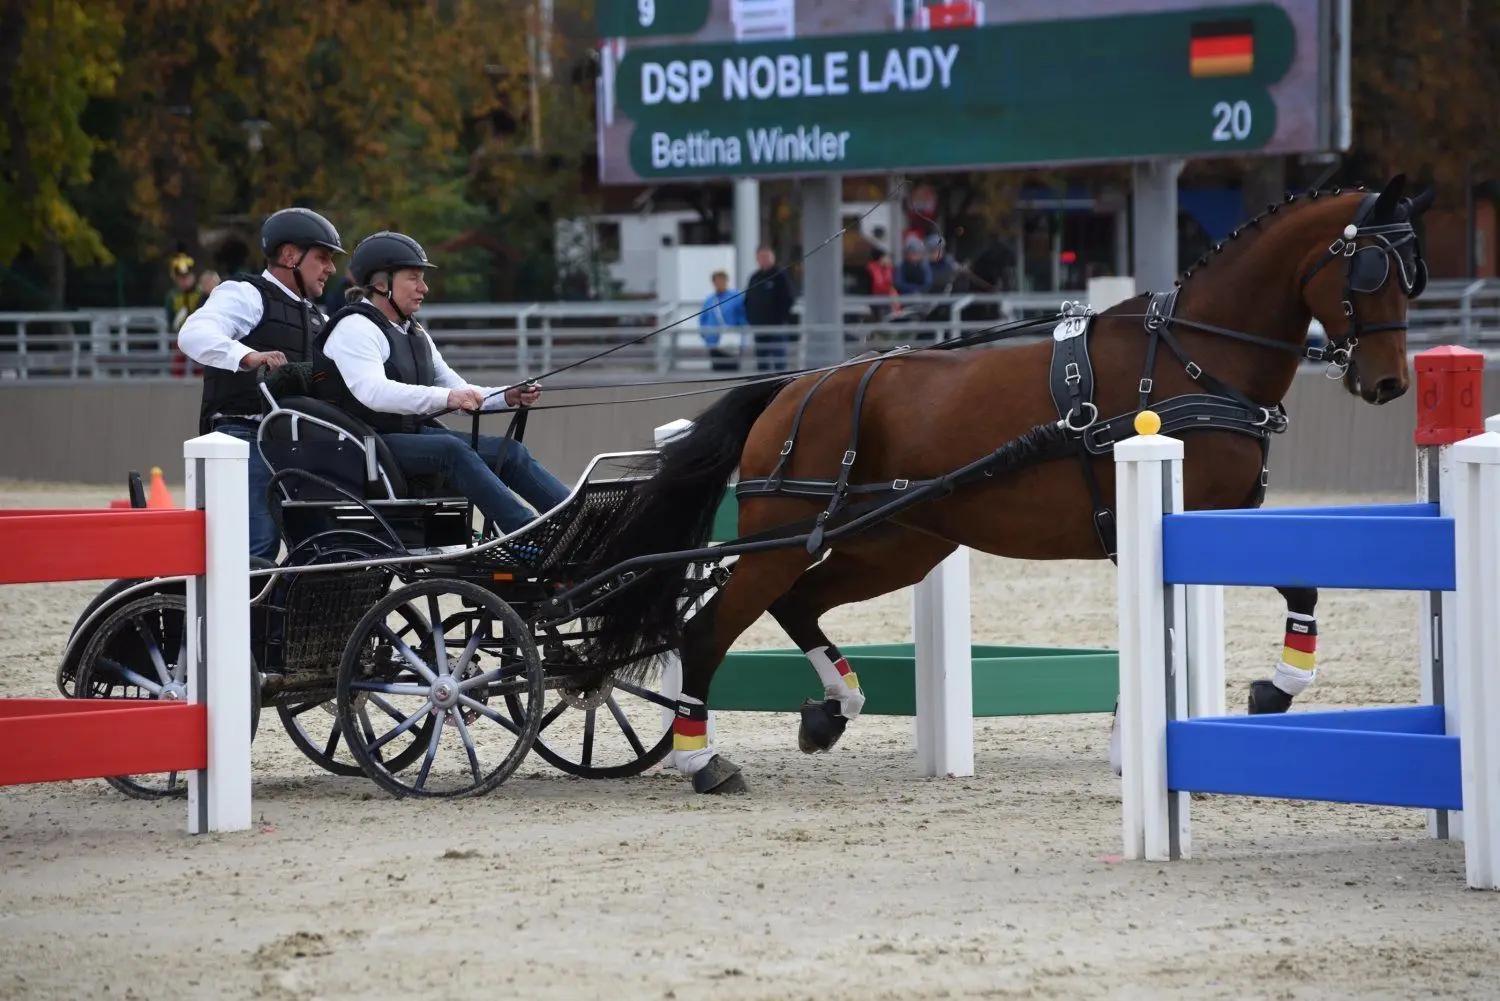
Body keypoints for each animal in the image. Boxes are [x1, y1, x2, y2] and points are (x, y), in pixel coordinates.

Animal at [588, 173, 1435, 793]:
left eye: (1413, 278)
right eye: (1368, 270)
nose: (1389, 382)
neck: (1194, 359)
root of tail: (798, 387)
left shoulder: (1214, 522)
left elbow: (1297, 589)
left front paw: (1247, 696)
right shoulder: (1188, 517)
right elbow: (1232, 608)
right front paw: (1258, 695)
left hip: (893, 545)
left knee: (799, 604)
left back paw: (834, 708)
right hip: (783, 537)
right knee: (709, 630)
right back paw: (702, 759)